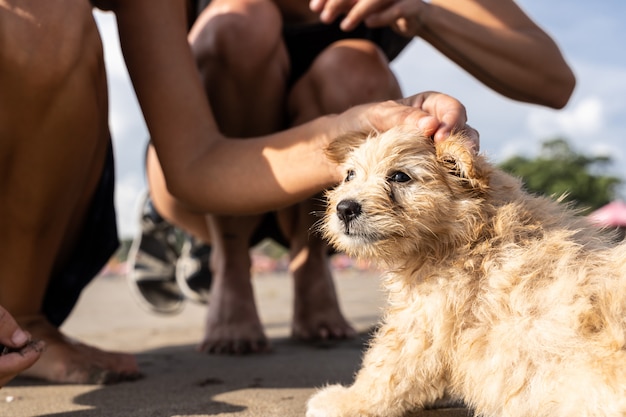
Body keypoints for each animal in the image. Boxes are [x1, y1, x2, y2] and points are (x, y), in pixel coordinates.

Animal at [304, 127, 624, 416]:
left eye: (399, 176)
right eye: (350, 175)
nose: (344, 208)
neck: (474, 234)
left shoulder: (423, 322)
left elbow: (387, 368)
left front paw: (345, 402)